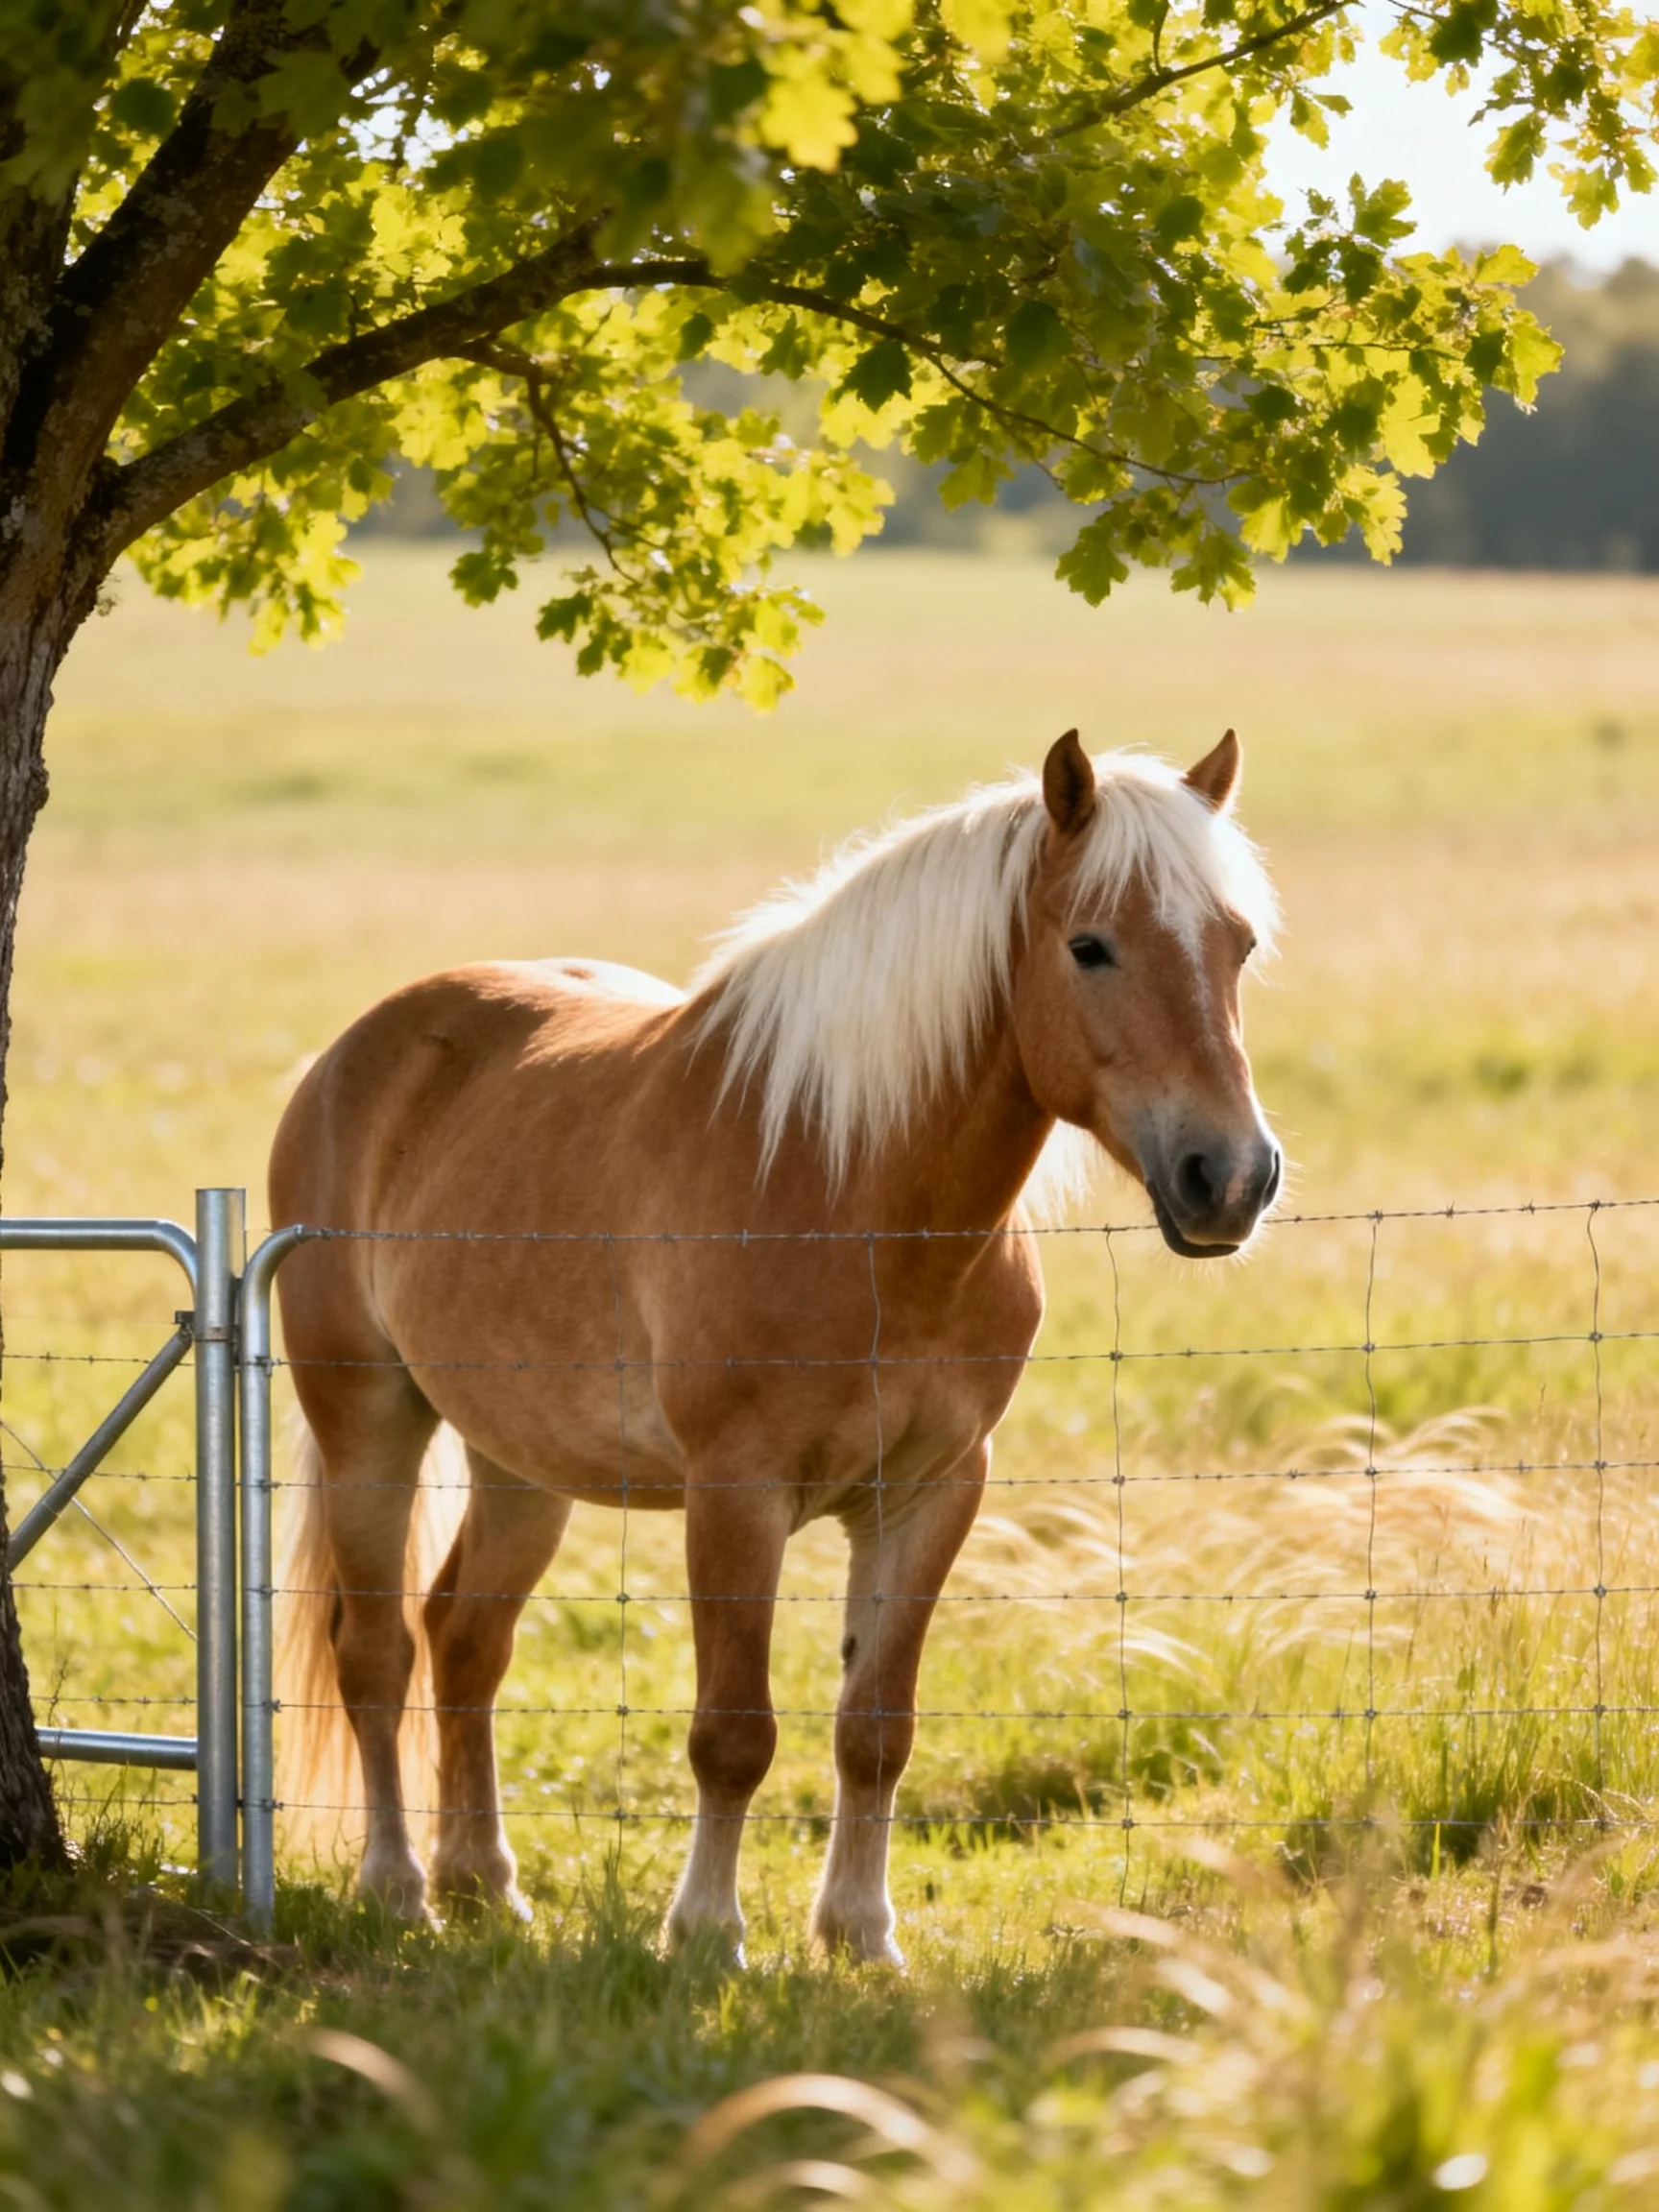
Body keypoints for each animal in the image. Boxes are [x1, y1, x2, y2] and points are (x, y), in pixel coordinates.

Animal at [272, 728, 1281, 1963]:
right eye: (1090, 947)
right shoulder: (735, 1493)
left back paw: (484, 1885)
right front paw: (706, 1934)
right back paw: (398, 1887)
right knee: (376, 1652)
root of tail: (349, 1056)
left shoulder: (932, 1492)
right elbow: (734, 1732)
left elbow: (876, 1726)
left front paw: (860, 1934)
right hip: (368, 1420)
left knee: (465, 1637)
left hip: (520, 1461)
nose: (1230, 1178)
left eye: (1238, 945)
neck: (852, 1197)